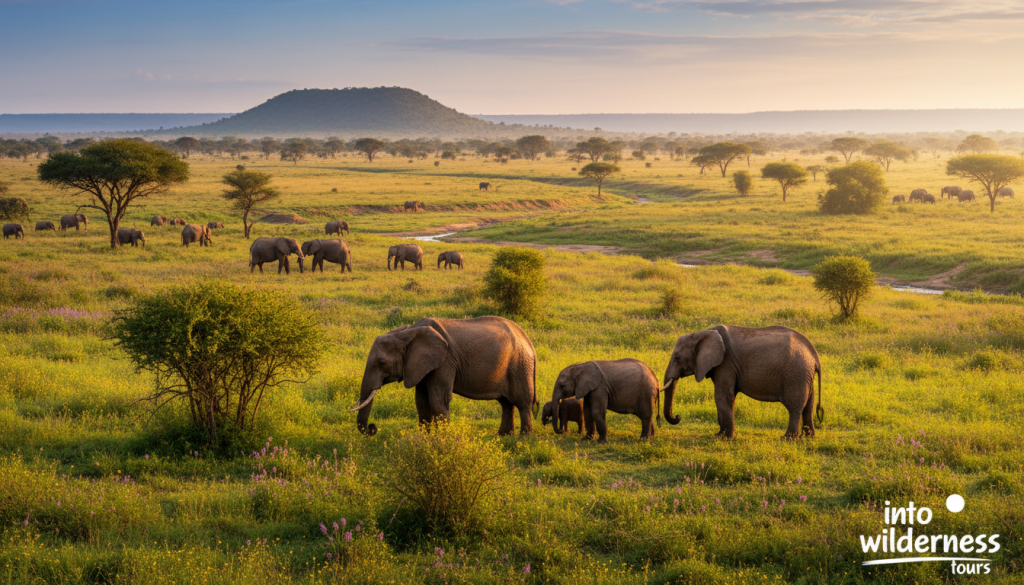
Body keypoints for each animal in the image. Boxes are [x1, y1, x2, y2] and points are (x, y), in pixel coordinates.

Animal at [349, 316, 538, 436]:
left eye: (381, 362)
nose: (373, 428)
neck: (408, 332)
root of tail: (529, 341)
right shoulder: (420, 365)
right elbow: (421, 400)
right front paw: (426, 439)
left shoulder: (445, 361)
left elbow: (438, 399)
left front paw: (443, 440)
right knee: (506, 403)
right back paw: (503, 436)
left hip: (520, 364)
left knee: (522, 402)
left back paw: (524, 437)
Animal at [661, 325, 823, 439]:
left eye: (677, 358)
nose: (678, 417)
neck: (703, 332)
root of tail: (814, 355)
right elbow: (729, 397)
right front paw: (720, 435)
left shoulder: (725, 363)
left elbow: (722, 396)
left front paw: (725, 438)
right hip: (804, 375)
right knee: (808, 405)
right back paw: (809, 436)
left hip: (795, 374)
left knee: (795, 406)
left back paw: (788, 438)